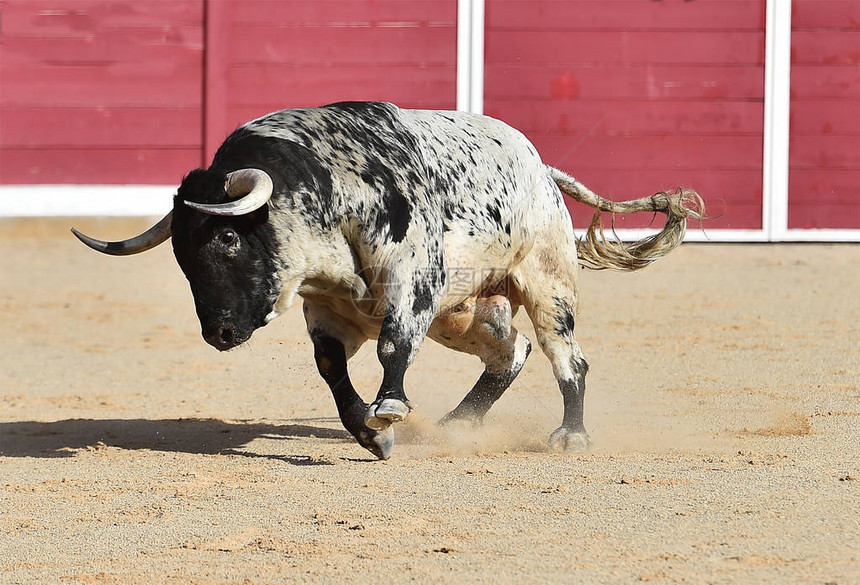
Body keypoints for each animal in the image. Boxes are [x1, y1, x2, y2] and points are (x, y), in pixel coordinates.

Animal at [74, 104, 704, 460]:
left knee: (567, 358)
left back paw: (571, 436)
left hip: (546, 282)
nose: (219, 333)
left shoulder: (413, 279)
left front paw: (391, 407)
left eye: (227, 237)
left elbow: (393, 344)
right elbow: (332, 368)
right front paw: (370, 433)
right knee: (511, 351)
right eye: (180, 254)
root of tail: (541, 168)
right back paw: (459, 424)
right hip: (464, 312)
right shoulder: (327, 308)